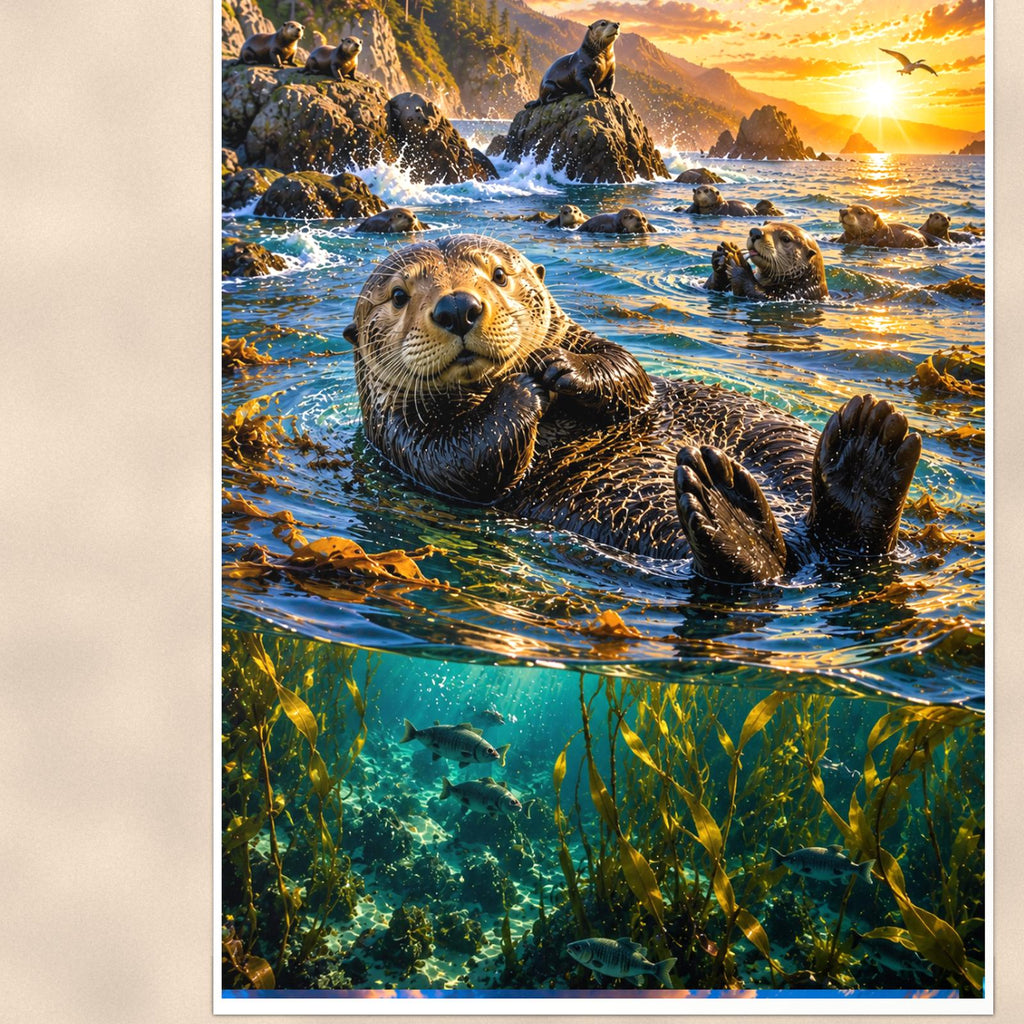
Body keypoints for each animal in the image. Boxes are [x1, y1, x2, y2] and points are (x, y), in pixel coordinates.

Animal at [342, 235, 919, 583]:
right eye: (398, 296)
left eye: (500, 275)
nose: (458, 306)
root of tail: (808, 557)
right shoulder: (400, 436)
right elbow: (464, 460)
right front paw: (522, 389)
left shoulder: (591, 342)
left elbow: (629, 371)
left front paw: (557, 366)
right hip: (660, 524)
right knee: (754, 570)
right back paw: (729, 509)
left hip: (774, 438)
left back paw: (865, 452)